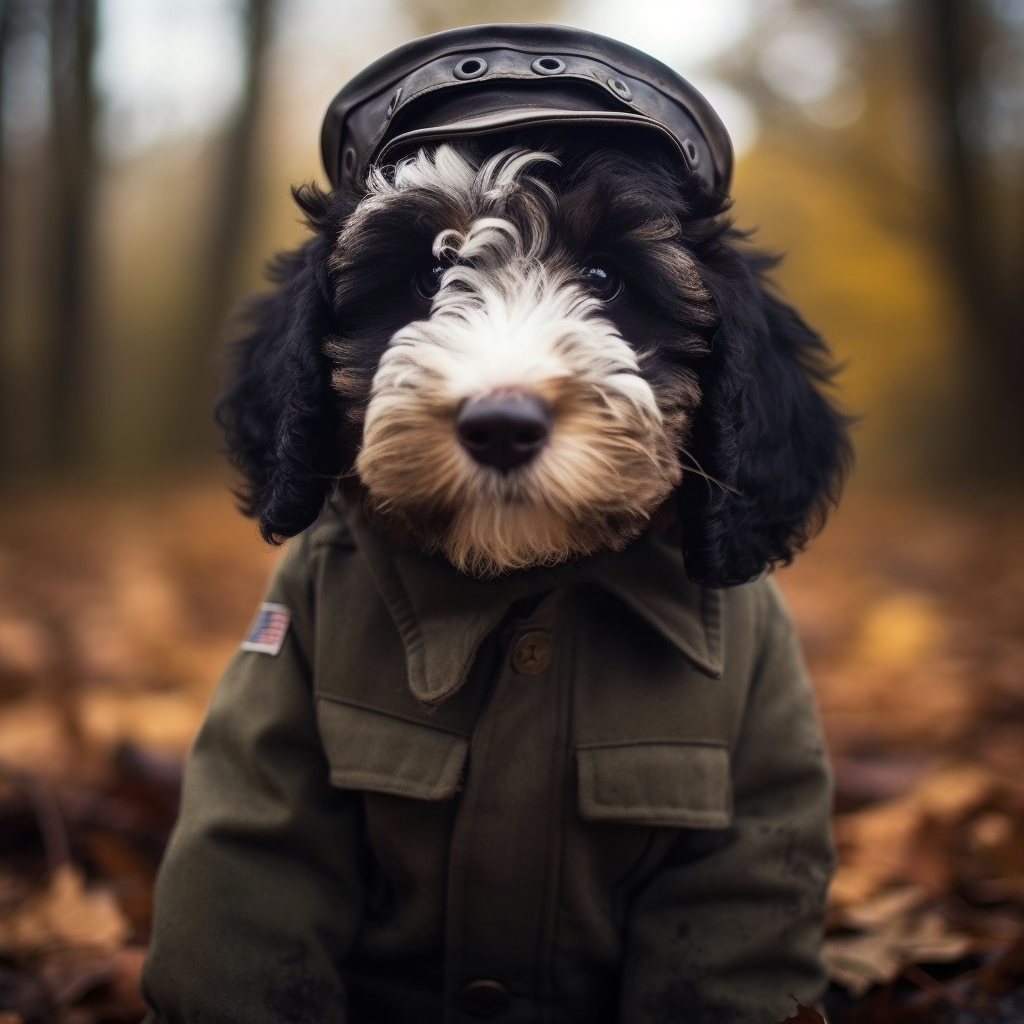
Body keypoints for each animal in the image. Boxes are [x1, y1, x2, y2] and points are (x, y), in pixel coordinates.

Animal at [142, 25, 847, 1024]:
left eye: (605, 278)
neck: (525, 583)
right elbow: (252, 885)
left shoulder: (751, 789)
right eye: (429, 272)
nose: (502, 423)